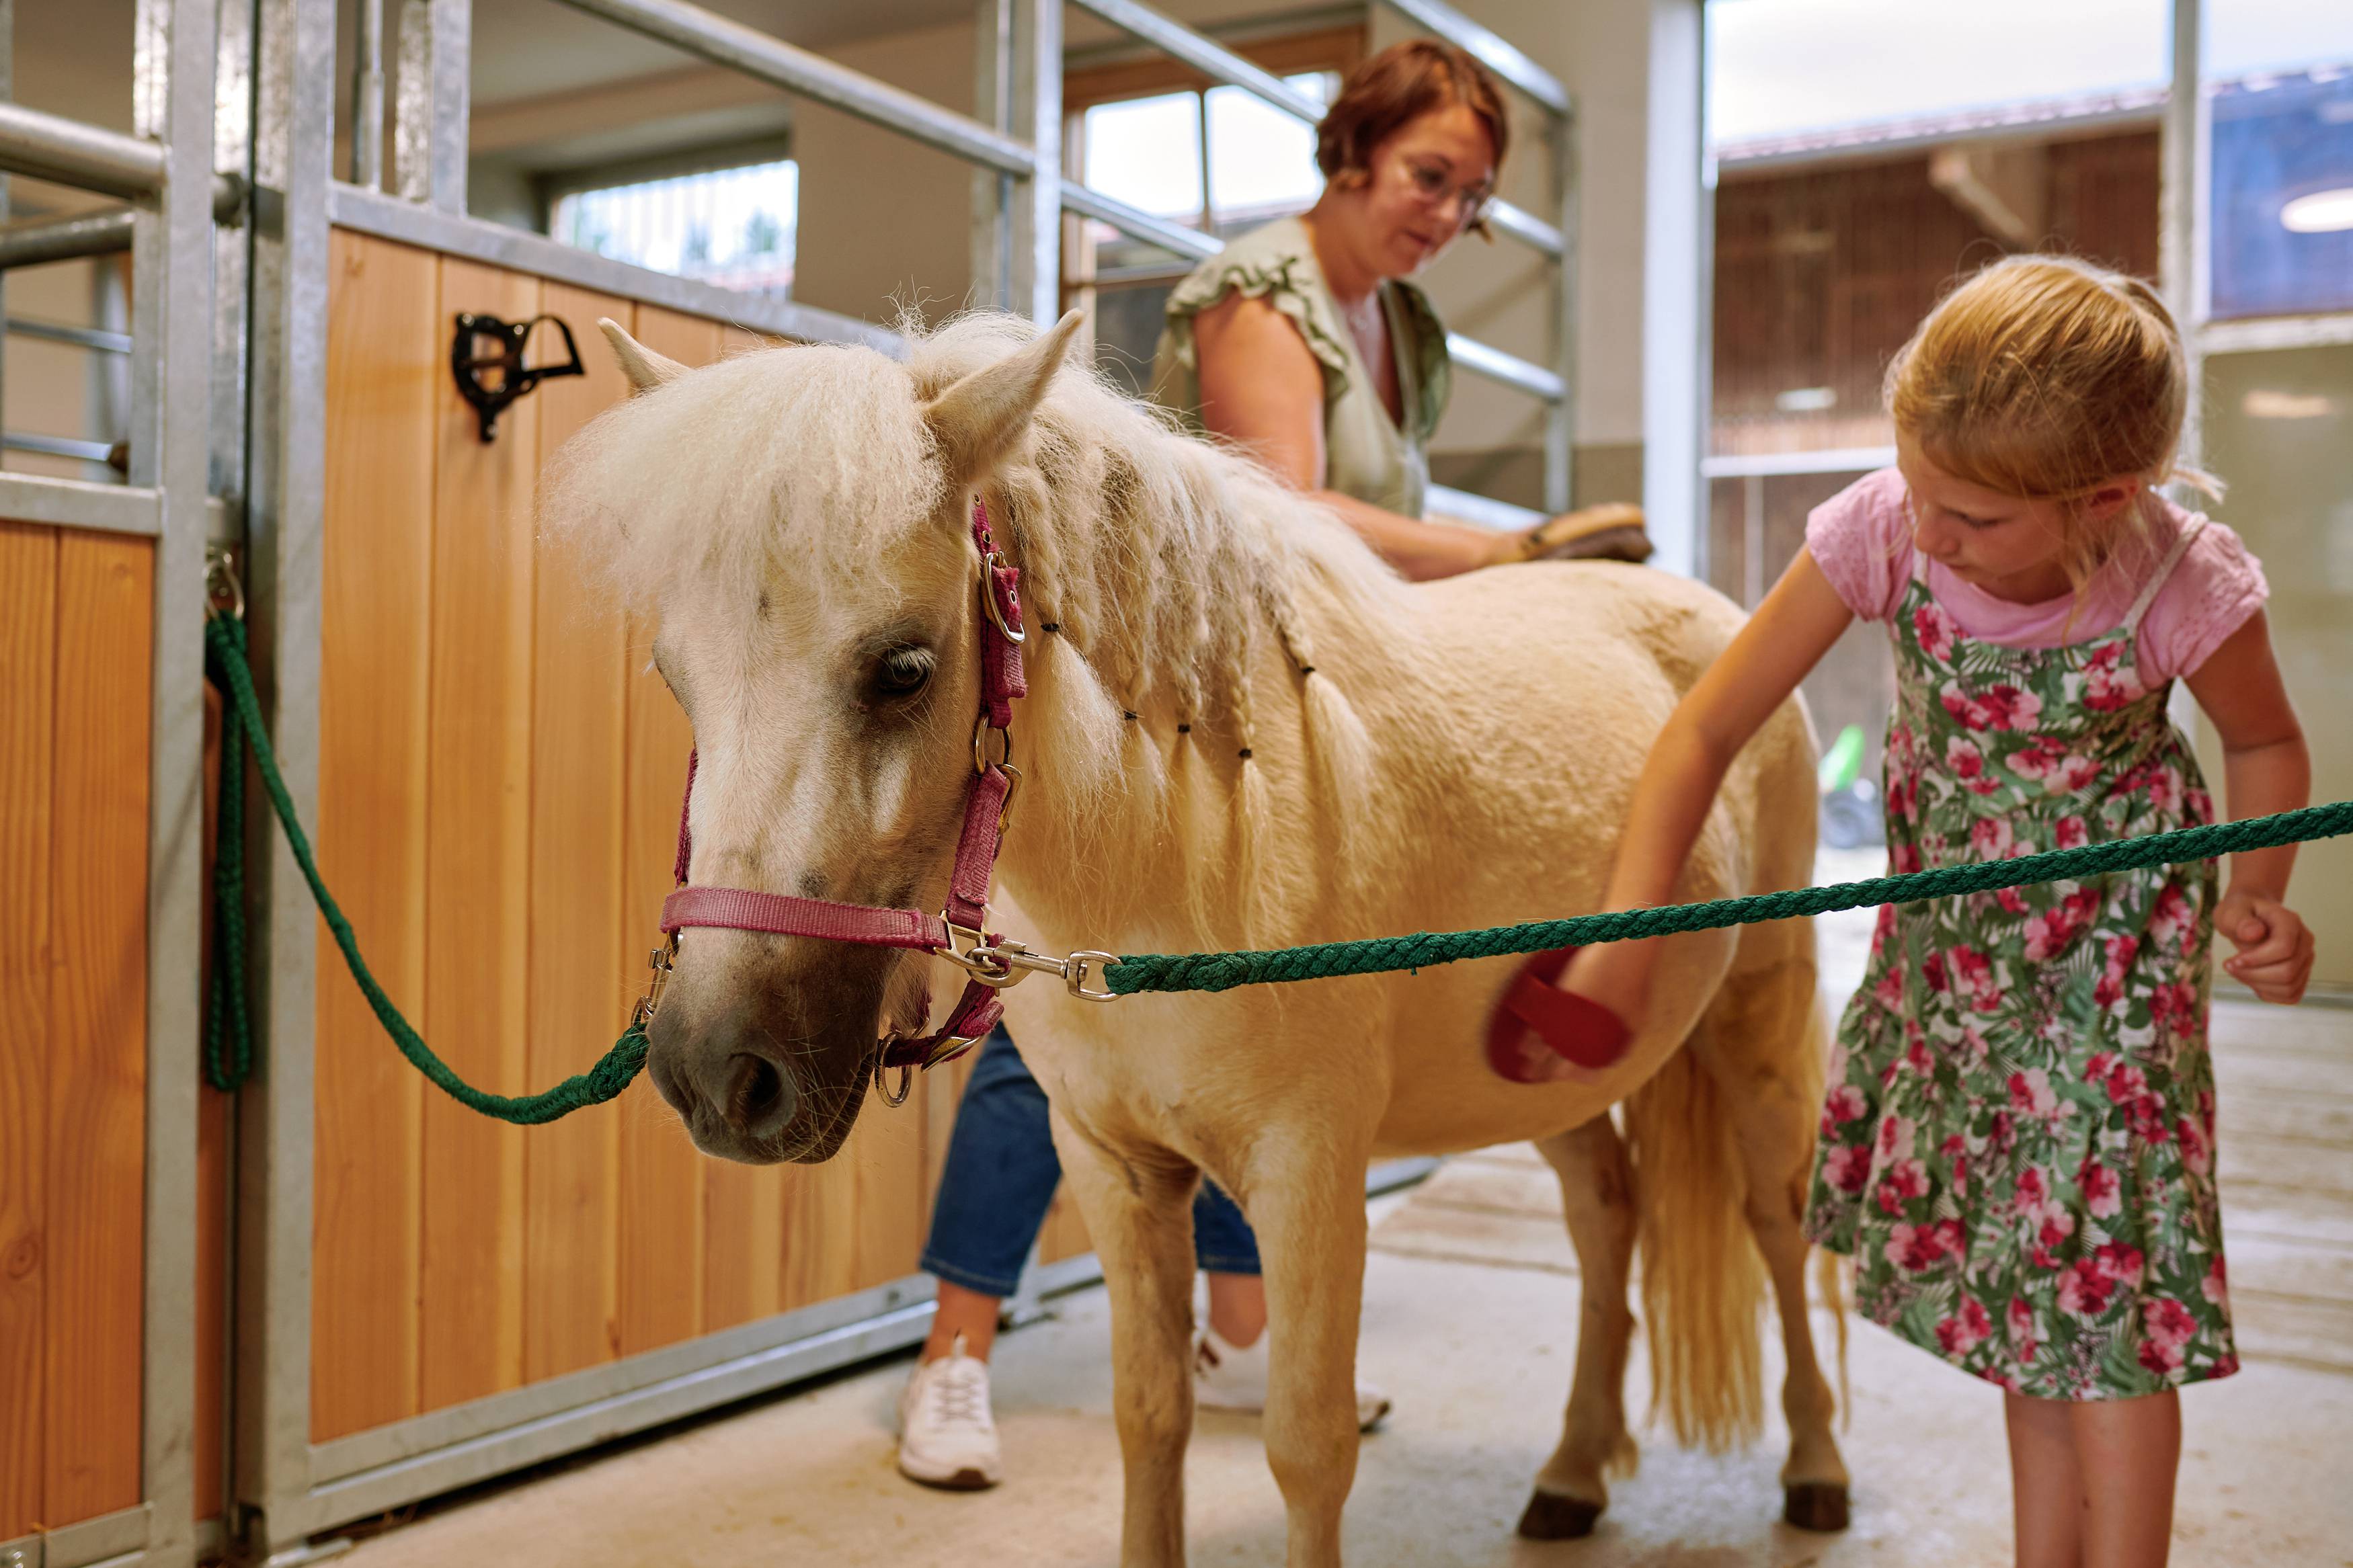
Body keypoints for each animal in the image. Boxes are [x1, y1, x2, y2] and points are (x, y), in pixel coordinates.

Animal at [543, 308, 1848, 1567]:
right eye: (676, 678)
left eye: (903, 668)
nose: (720, 1072)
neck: (1192, 848)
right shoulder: (1117, 1167)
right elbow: (1150, 1417)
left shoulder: (1310, 1176)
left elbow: (1309, 1450)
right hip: (1546, 1076)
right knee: (1607, 1218)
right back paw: (1574, 1475)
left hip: (1756, 1024)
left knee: (1777, 1221)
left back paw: (1815, 1471)